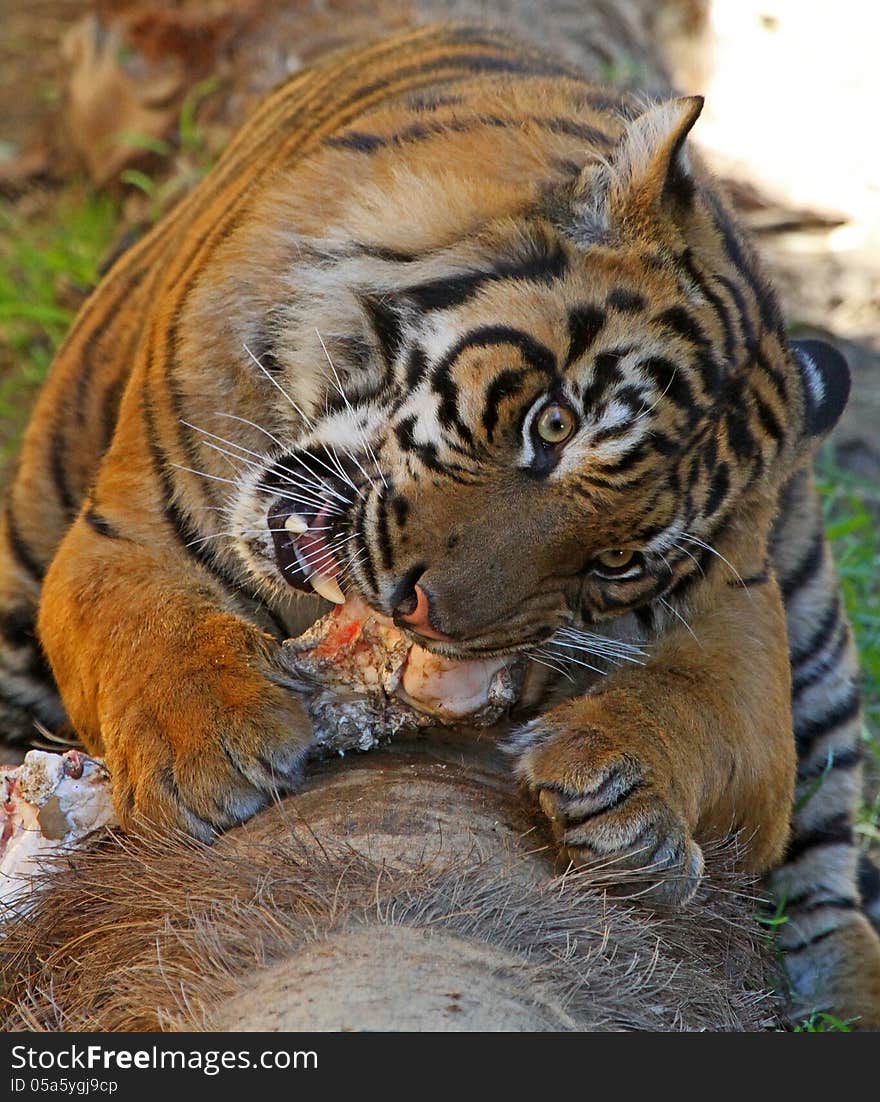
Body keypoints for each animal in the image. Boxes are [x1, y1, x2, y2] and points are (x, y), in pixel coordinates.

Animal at [0, 21, 876, 1027]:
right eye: (553, 424)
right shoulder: (124, 532)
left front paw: (625, 792)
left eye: (615, 563)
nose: (420, 613)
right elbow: (148, 626)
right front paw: (210, 752)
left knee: (830, 902)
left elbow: (693, 703)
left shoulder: (742, 627)